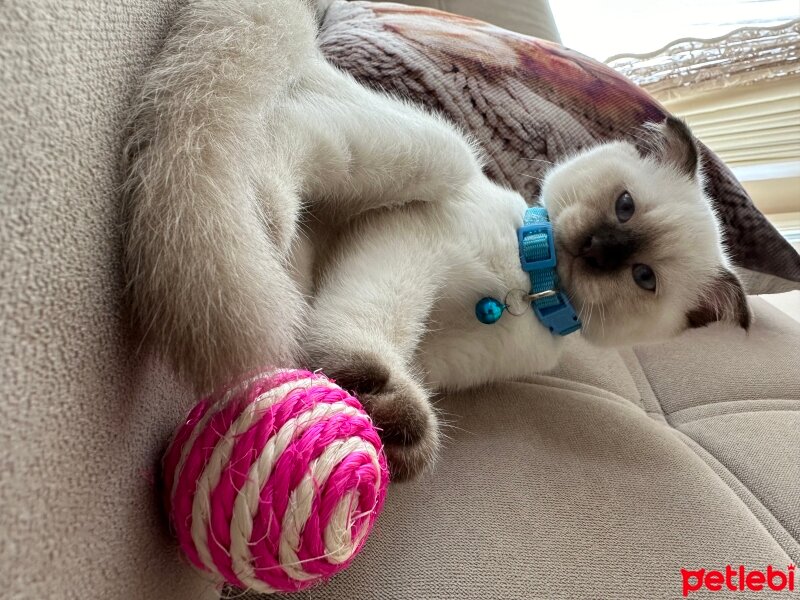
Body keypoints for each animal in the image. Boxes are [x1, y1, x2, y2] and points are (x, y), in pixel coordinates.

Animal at [123, 0, 752, 478]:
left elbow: (397, 367)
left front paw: (392, 425)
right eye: (625, 206)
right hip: (437, 149)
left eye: (644, 277)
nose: (599, 249)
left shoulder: (436, 357)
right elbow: (365, 323)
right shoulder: (409, 243)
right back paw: (265, 219)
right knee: (279, 135)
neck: (533, 287)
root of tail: (310, 44)